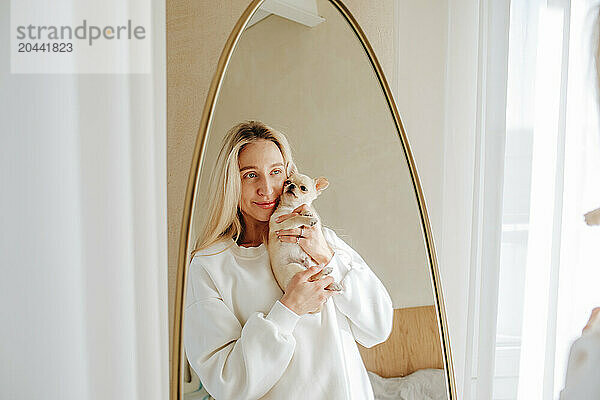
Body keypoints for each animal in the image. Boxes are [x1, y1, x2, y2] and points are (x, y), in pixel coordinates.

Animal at [268, 162, 342, 312]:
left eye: (303, 188)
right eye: (287, 182)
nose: (291, 186)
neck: (291, 207)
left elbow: (302, 211)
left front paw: (307, 212)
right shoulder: (281, 222)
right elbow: (295, 218)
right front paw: (307, 219)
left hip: (311, 264)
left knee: (315, 278)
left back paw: (331, 282)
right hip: (294, 268)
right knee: (312, 278)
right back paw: (326, 273)